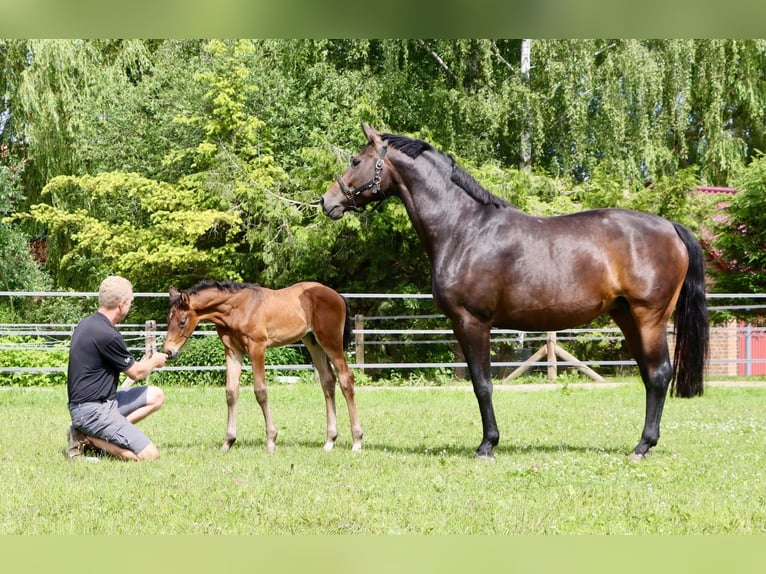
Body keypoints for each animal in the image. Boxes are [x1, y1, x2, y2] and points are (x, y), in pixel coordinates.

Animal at [161, 282, 364, 454]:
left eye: (182, 321)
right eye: (168, 320)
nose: (168, 352)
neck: (238, 308)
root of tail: (338, 296)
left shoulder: (257, 347)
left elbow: (260, 391)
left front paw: (271, 441)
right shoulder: (233, 350)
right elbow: (231, 392)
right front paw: (228, 442)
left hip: (331, 341)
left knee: (346, 378)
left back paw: (357, 441)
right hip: (313, 342)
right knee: (328, 381)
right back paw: (330, 441)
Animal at [320, 124, 712, 462]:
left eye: (355, 160)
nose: (327, 201)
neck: (464, 227)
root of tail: (671, 227)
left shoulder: (472, 321)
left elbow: (482, 385)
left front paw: (487, 445)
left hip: (649, 317)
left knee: (659, 374)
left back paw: (642, 446)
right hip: (626, 316)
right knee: (649, 375)